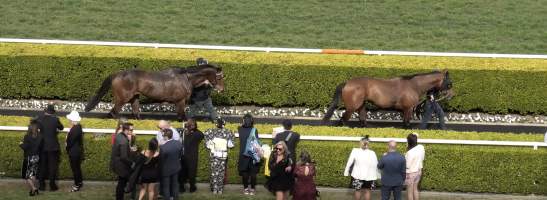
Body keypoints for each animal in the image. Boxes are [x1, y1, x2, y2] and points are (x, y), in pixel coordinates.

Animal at [84, 64, 225, 120]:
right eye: (219, 77)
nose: (221, 89)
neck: (186, 78)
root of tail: (116, 74)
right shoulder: (180, 101)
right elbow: (182, 117)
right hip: (123, 98)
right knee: (113, 112)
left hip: (134, 97)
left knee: (135, 112)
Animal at [324, 69, 452, 127]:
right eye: (450, 84)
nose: (451, 95)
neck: (413, 85)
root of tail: (347, 83)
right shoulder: (408, 109)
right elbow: (406, 124)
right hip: (352, 107)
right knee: (343, 120)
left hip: (361, 106)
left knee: (362, 120)